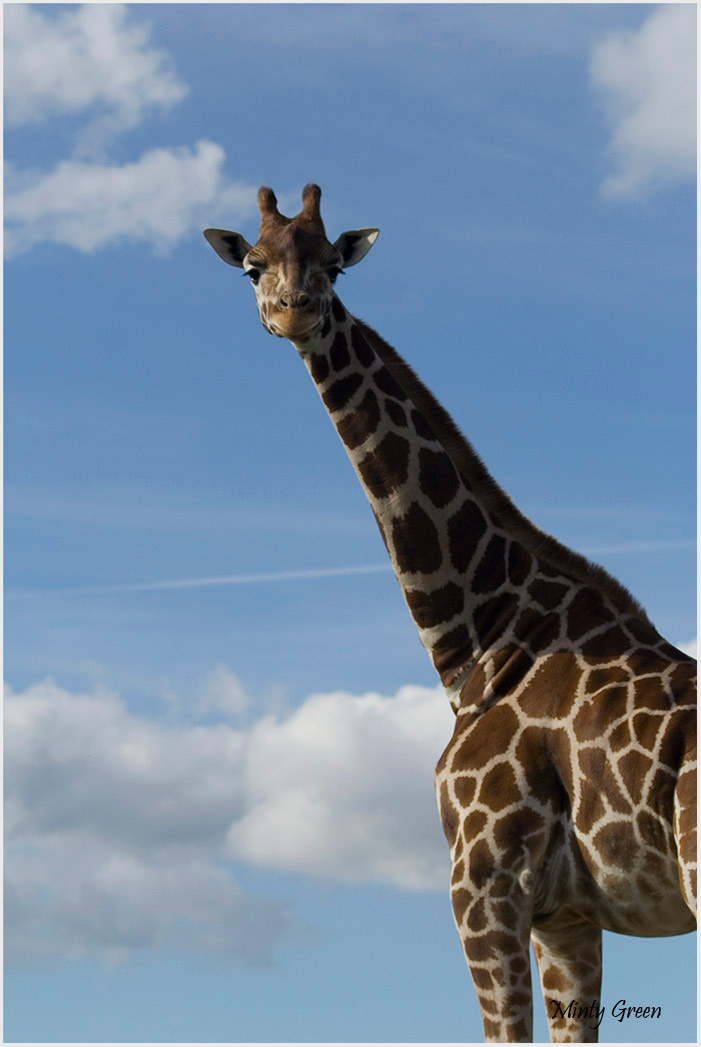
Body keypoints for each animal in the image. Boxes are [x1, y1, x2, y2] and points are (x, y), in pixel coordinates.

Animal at [204, 184, 696, 1043]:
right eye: (253, 264)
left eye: (332, 262)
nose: (296, 309)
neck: (482, 634)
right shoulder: (567, 914)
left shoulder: (483, 882)